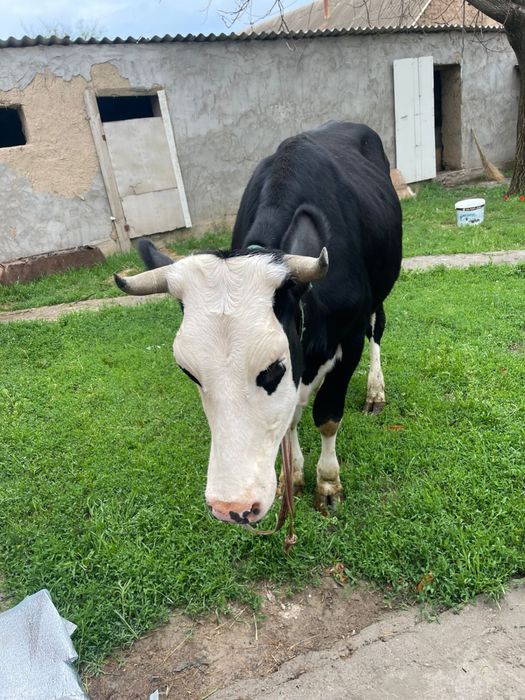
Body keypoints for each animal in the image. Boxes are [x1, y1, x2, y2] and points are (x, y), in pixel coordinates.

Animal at [114, 121, 402, 527]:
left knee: (377, 328)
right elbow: (289, 418)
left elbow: (328, 416)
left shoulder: (346, 341)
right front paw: (290, 478)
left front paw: (327, 485)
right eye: (189, 373)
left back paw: (376, 391)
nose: (230, 507)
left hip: (379, 293)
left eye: (272, 368)